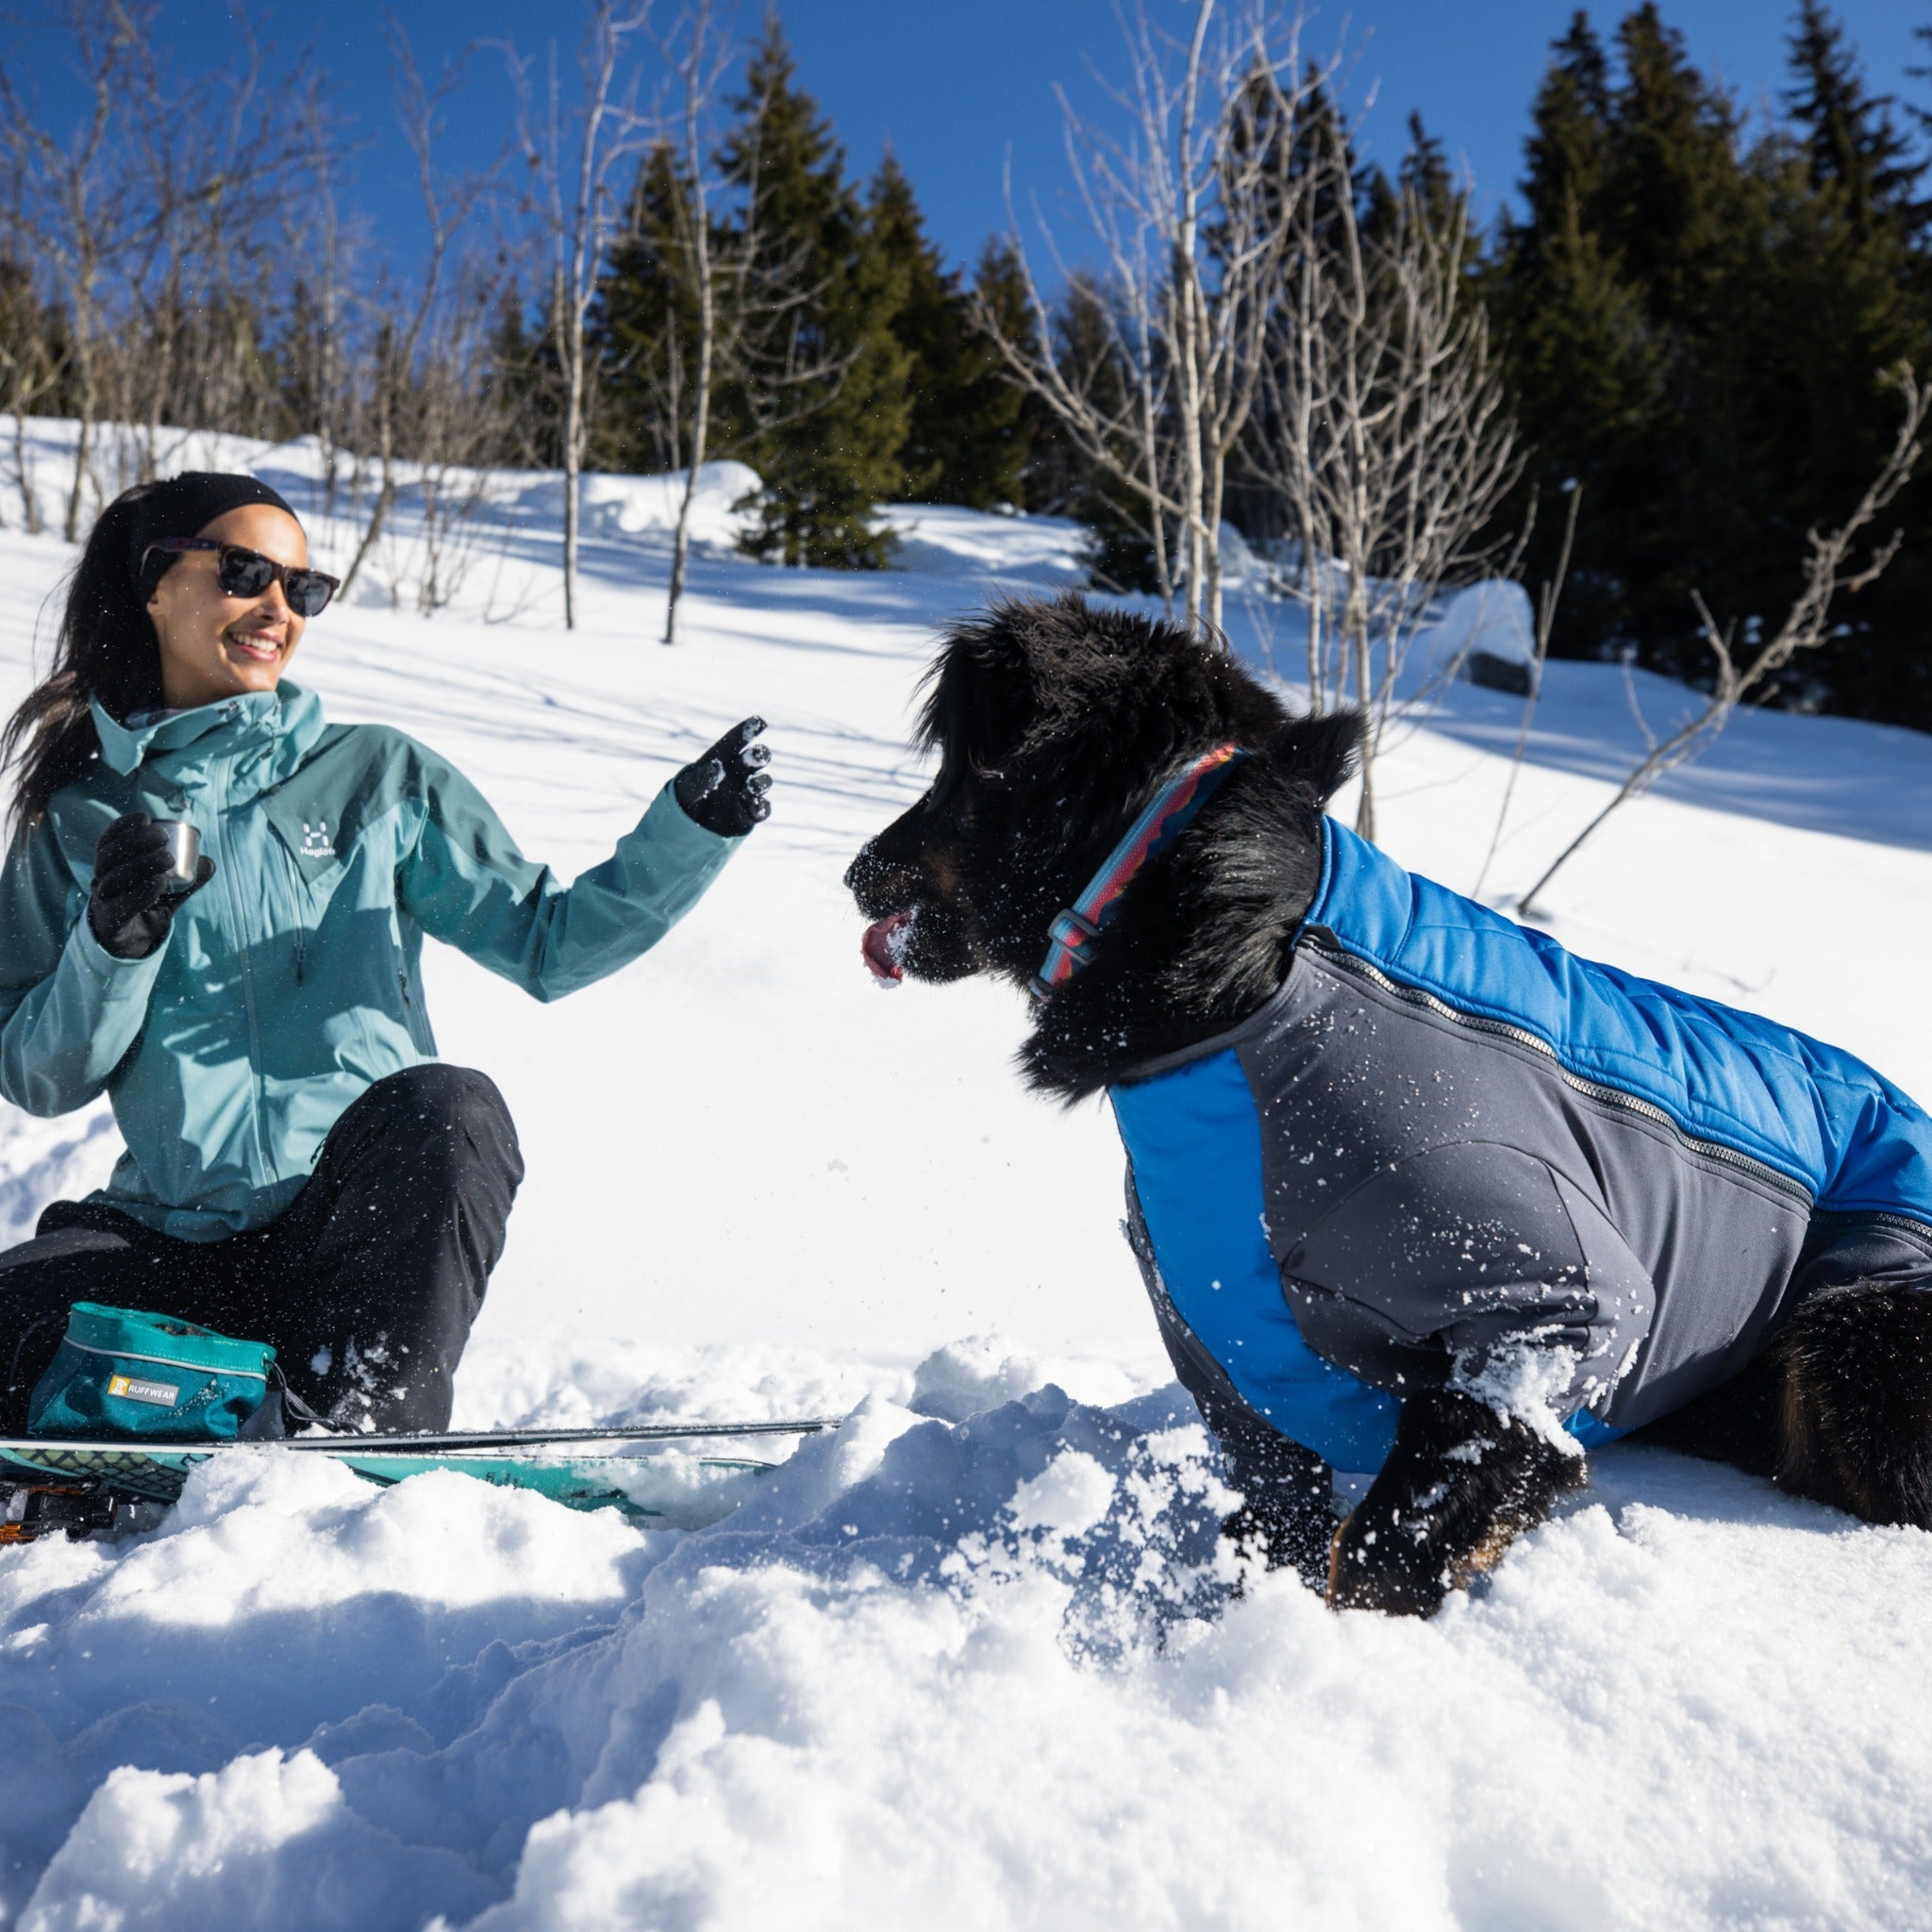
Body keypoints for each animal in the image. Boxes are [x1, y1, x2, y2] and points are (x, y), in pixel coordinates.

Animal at [846, 598, 1932, 1615]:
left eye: (962, 772)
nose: (855, 870)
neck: (1257, 973)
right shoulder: (1225, 1346)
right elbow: (1279, 1518)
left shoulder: (1543, 1311)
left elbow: (1382, 1548)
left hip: (1850, 1339)